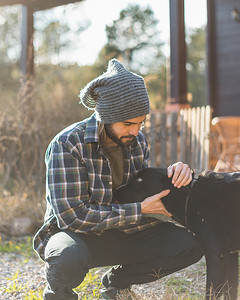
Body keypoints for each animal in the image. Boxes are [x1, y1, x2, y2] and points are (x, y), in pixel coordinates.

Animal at [113, 168, 240, 300]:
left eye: (139, 179)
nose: (115, 191)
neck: (188, 195)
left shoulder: (215, 255)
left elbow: (212, 292)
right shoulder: (230, 255)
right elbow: (231, 291)